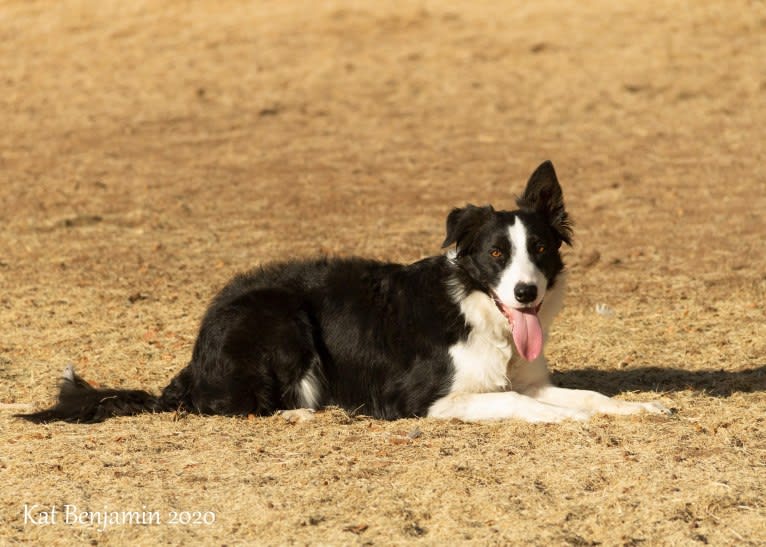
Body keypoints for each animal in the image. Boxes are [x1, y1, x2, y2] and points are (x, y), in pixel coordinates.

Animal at [19, 161, 672, 426]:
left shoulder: (530, 377)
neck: (478, 311)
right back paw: (301, 414)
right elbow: (520, 405)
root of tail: (194, 357)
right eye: (494, 255)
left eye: (538, 249)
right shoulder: (421, 399)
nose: (527, 292)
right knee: (230, 404)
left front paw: (638, 408)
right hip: (285, 320)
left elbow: (587, 395)